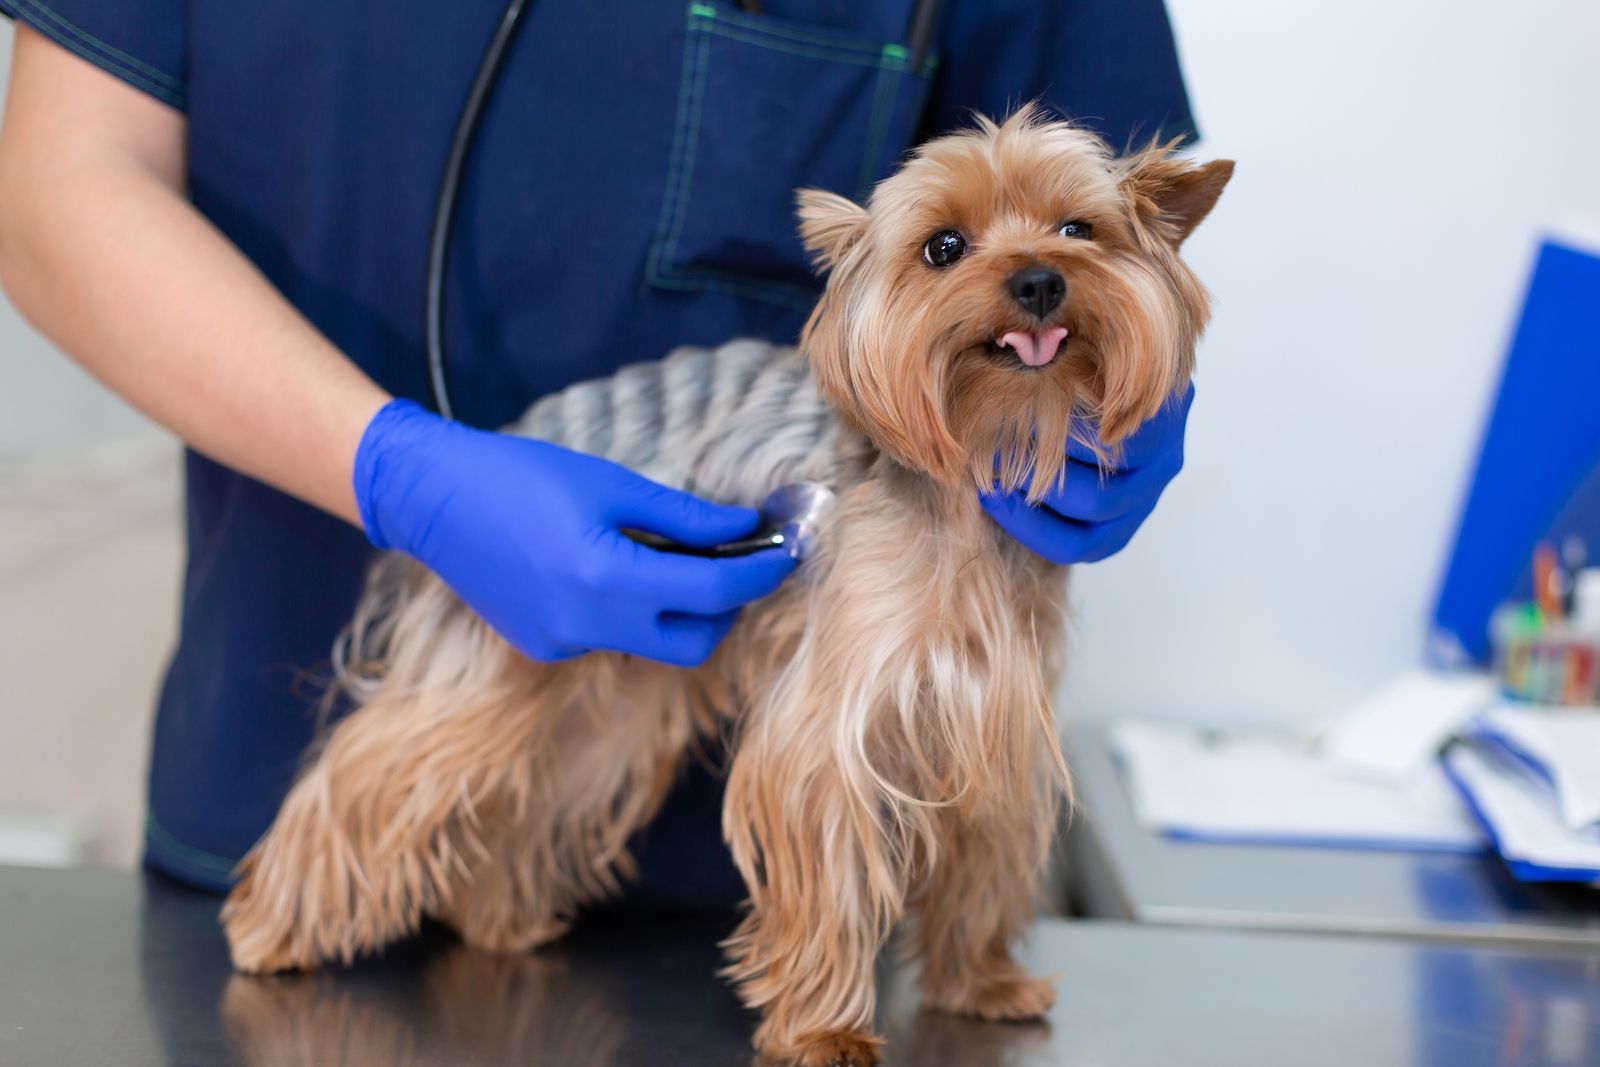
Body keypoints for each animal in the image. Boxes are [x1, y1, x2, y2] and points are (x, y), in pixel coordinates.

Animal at [222, 110, 1222, 1067]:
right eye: (944, 246)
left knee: (537, 791)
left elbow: (986, 851)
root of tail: (517, 431)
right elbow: (829, 862)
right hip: (495, 644)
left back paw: (500, 919)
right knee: (371, 767)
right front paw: (825, 1029)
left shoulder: (993, 708)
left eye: (1078, 228)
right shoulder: (835, 716)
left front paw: (980, 982)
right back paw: (268, 930)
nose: (1041, 281)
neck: (987, 454)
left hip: (618, 688)